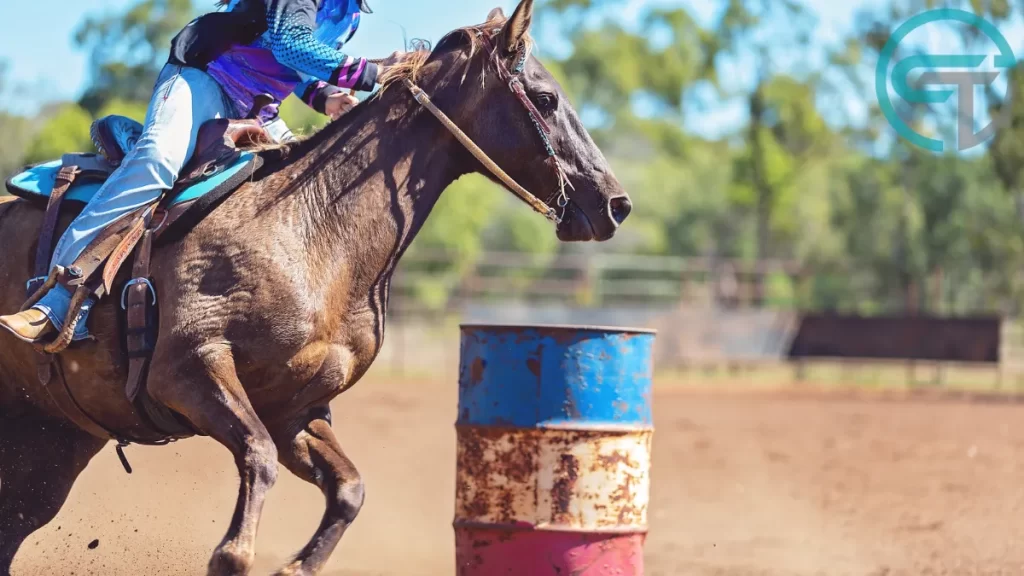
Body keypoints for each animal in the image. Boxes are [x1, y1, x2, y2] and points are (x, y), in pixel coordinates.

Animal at [0, 2, 630, 569]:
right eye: (545, 99)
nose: (615, 203)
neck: (312, 229)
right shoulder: (188, 371)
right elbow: (252, 477)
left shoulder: (295, 409)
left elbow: (348, 489)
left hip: (49, 440)